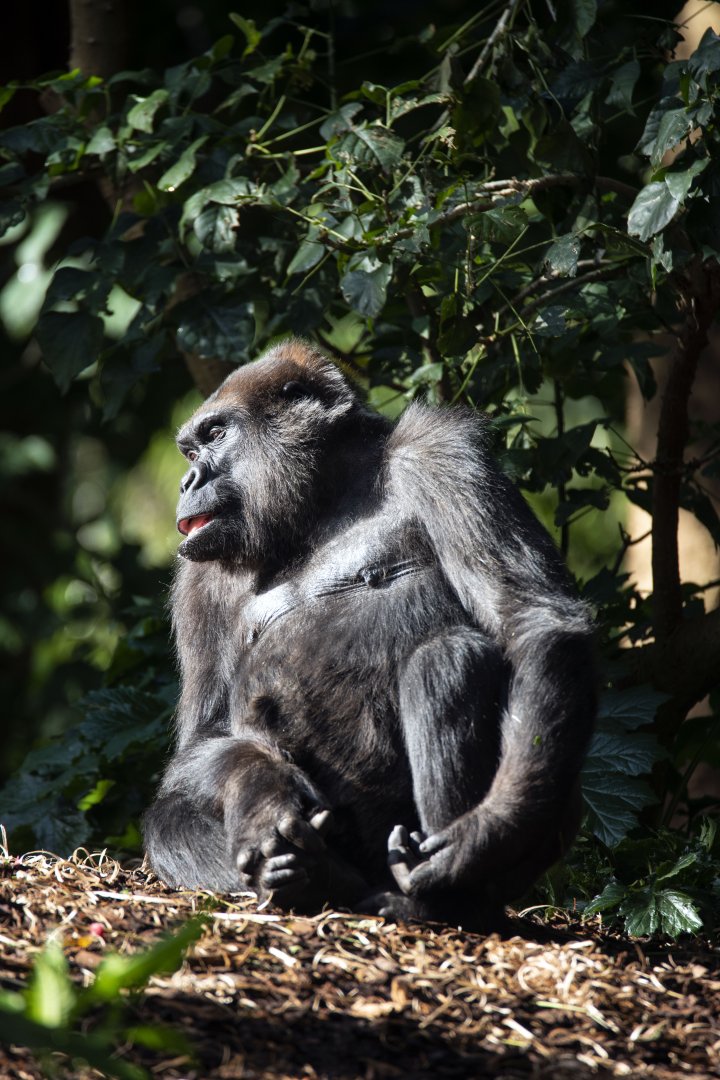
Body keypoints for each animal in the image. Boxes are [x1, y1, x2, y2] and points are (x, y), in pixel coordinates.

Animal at [143, 339, 595, 928]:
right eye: (190, 450)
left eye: (217, 434)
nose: (187, 482)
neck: (322, 496)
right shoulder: (199, 575)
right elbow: (209, 739)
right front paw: (261, 796)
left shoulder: (440, 452)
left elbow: (530, 619)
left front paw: (488, 831)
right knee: (168, 820)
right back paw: (317, 875)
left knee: (447, 658)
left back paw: (446, 899)